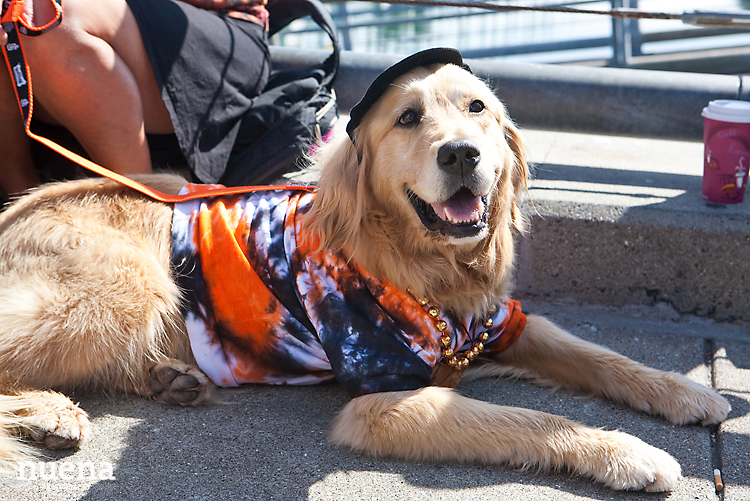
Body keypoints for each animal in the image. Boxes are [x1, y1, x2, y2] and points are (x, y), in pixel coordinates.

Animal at [0, 49, 736, 488]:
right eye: (408, 118)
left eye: (478, 109)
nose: (461, 154)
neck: (429, 264)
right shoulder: (384, 400)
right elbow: (529, 420)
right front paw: (630, 453)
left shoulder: (505, 322)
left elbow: (604, 356)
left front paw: (685, 392)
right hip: (128, 287)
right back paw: (51, 413)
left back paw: (166, 378)